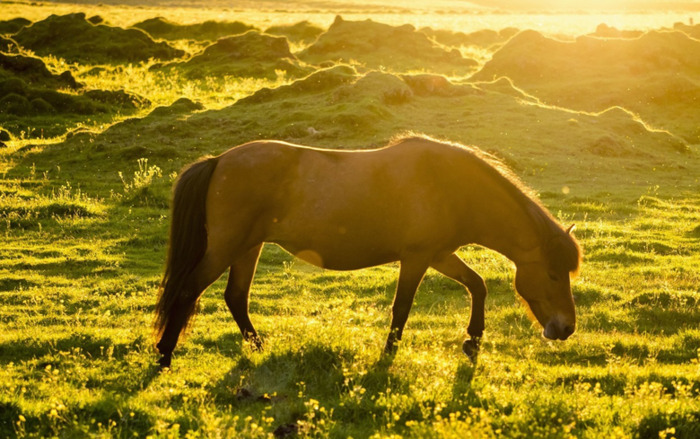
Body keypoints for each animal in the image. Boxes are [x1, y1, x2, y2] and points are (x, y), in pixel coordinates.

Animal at [153, 137, 580, 368]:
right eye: (553, 273)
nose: (566, 328)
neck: (451, 186)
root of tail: (219, 160)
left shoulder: (439, 254)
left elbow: (477, 285)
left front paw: (472, 342)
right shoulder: (418, 257)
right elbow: (402, 308)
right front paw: (388, 354)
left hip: (248, 246)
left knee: (236, 297)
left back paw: (259, 348)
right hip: (227, 246)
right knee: (188, 290)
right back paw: (164, 355)